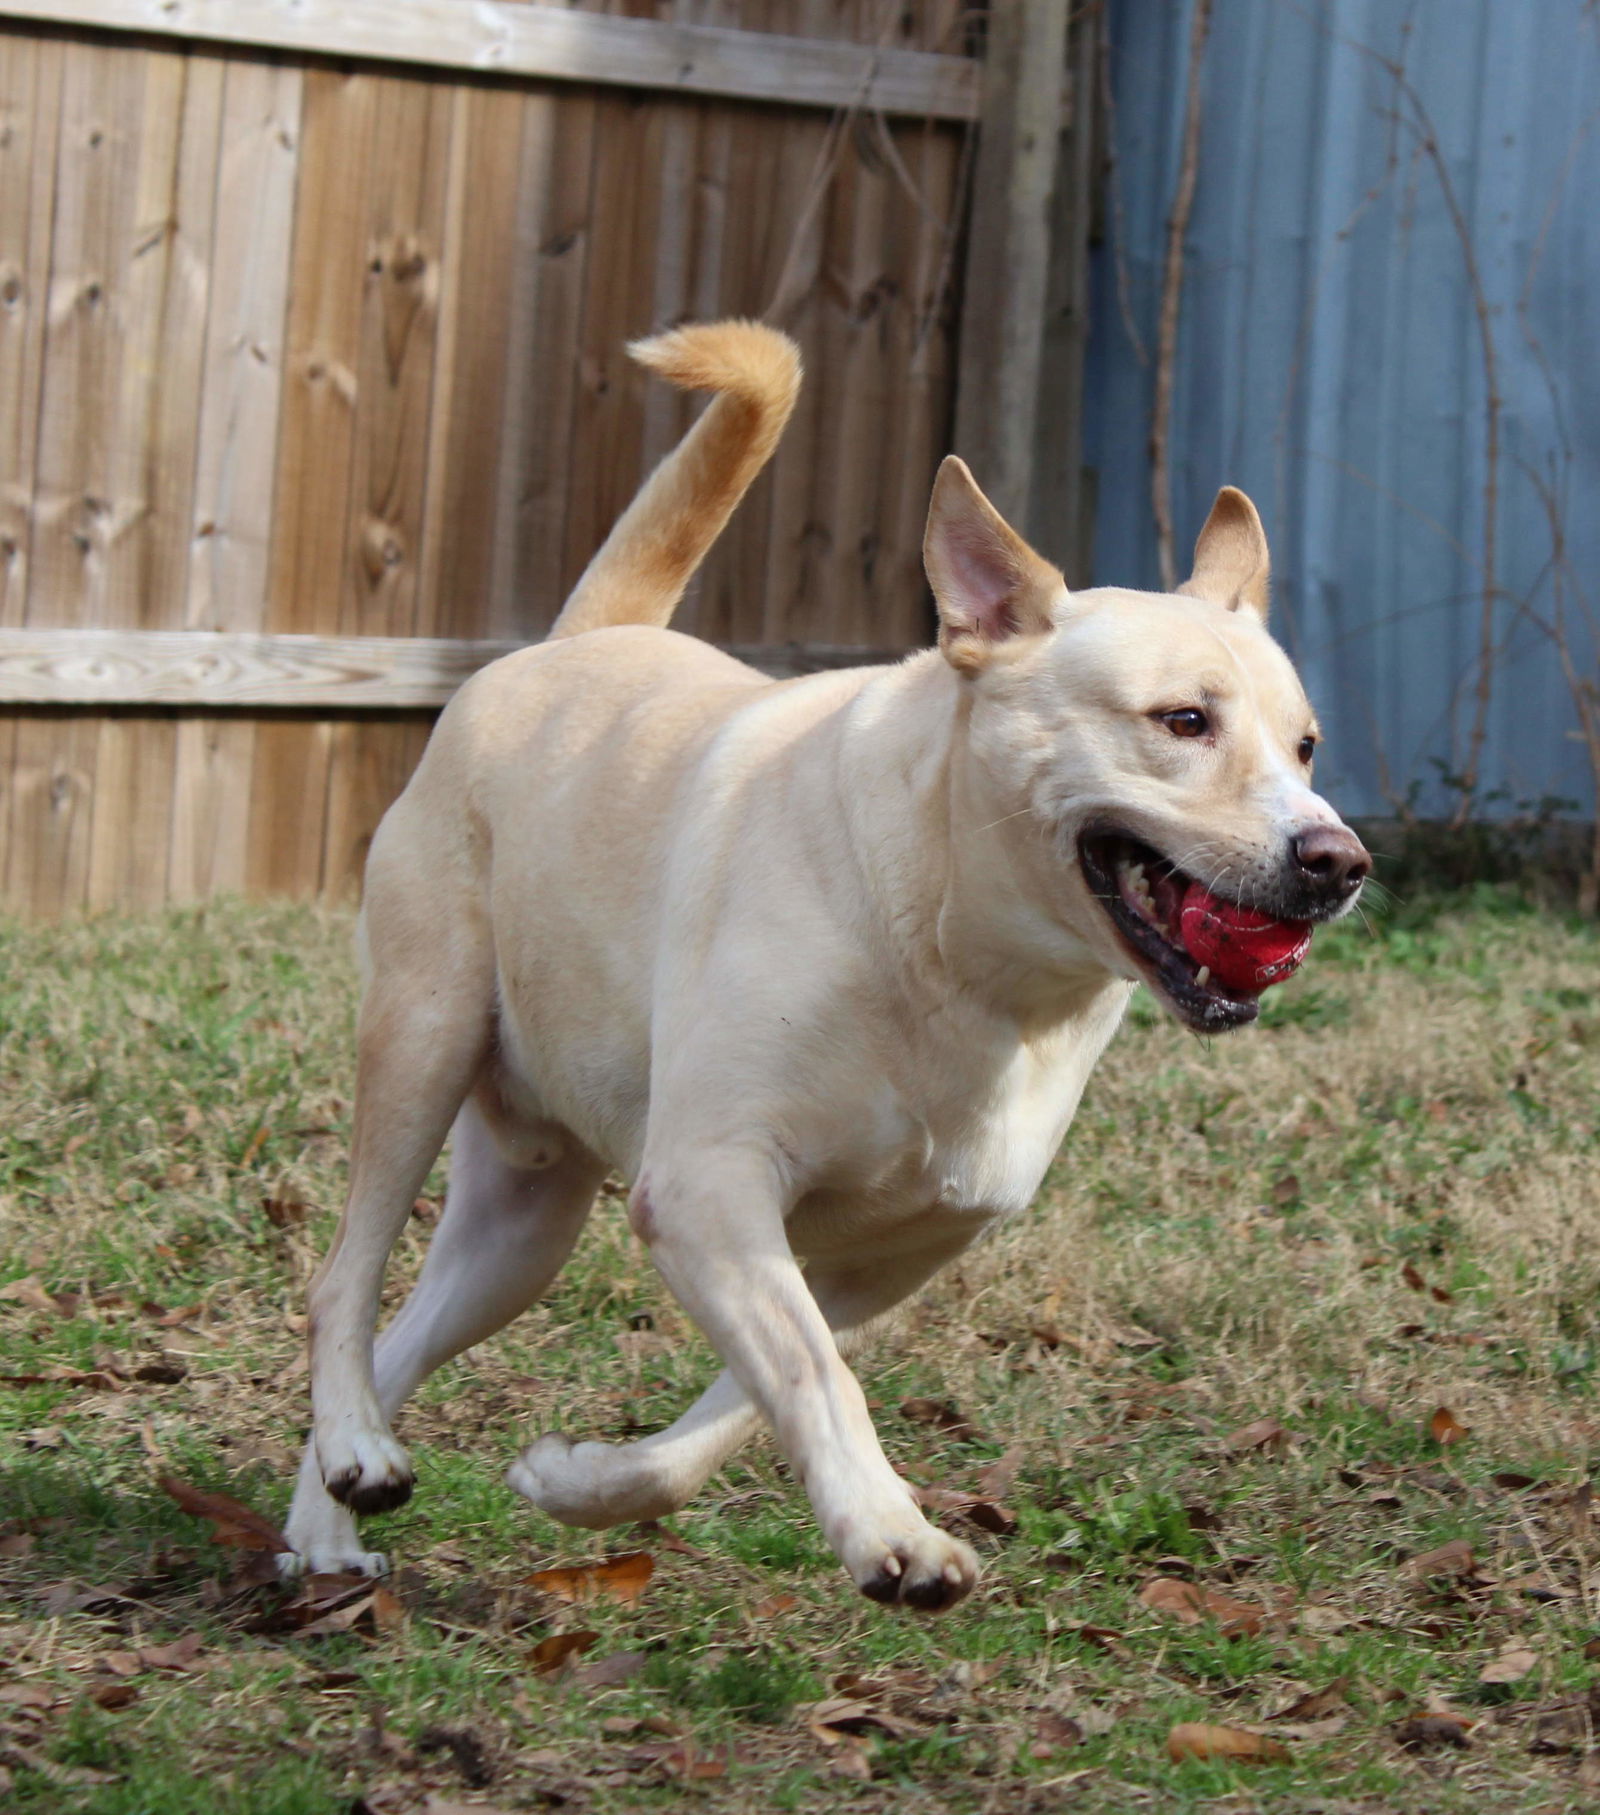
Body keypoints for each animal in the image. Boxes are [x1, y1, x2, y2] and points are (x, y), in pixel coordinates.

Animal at [282, 319, 1356, 1611]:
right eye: (1182, 722)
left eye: (1305, 746)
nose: (1336, 862)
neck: (959, 955)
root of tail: (573, 643)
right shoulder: (708, 1185)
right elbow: (811, 1378)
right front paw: (900, 1538)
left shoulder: (883, 1259)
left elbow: (743, 1406)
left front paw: (581, 1482)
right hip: (424, 1035)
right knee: (342, 1284)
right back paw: (352, 1445)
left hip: (518, 1233)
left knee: (402, 1334)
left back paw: (330, 1520)